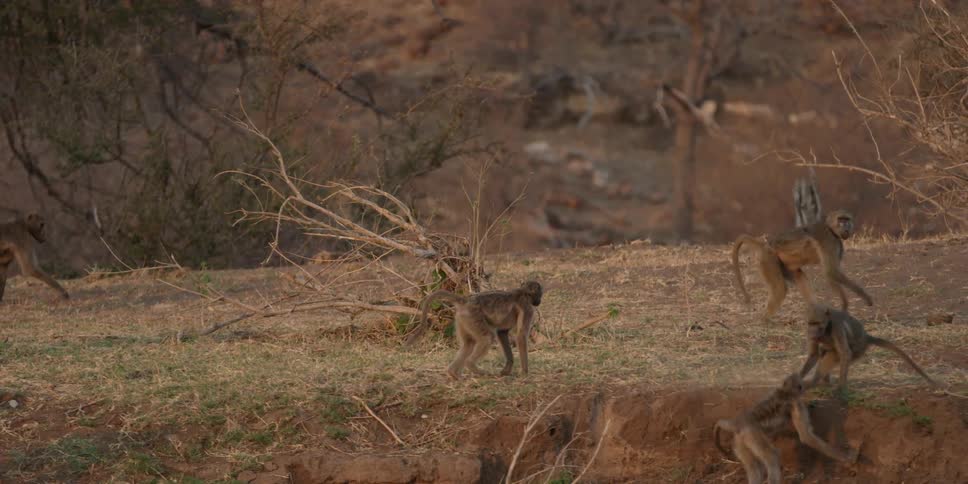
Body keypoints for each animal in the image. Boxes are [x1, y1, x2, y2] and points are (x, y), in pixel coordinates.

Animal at [405, 281, 542, 380]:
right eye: (539, 293)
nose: (539, 302)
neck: (523, 292)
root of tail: (465, 301)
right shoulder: (528, 309)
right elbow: (521, 336)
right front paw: (525, 373)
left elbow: (502, 332)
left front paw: (506, 370)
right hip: (472, 317)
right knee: (487, 338)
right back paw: (472, 367)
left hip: (463, 319)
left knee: (469, 344)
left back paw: (453, 373)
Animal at [714, 373, 859, 484]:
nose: (803, 386)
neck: (785, 391)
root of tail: (739, 422)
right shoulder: (797, 404)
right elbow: (806, 436)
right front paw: (847, 457)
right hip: (752, 435)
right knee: (771, 457)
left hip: (740, 441)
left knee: (754, 468)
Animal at [731, 210, 872, 319]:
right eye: (841, 220)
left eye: (847, 220)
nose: (845, 227)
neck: (830, 229)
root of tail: (765, 245)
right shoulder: (830, 241)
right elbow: (831, 272)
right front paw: (864, 298)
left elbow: (830, 274)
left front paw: (844, 307)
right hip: (768, 259)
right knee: (780, 289)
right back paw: (764, 320)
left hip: (784, 265)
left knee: (799, 277)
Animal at [799, 304, 936, 391]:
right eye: (811, 323)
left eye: (817, 323)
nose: (813, 332)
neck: (826, 327)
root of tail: (866, 337)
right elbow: (814, 355)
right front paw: (799, 378)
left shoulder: (837, 327)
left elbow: (845, 353)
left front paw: (841, 388)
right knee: (824, 352)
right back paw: (823, 382)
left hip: (858, 349)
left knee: (832, 355)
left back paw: (815, 382)